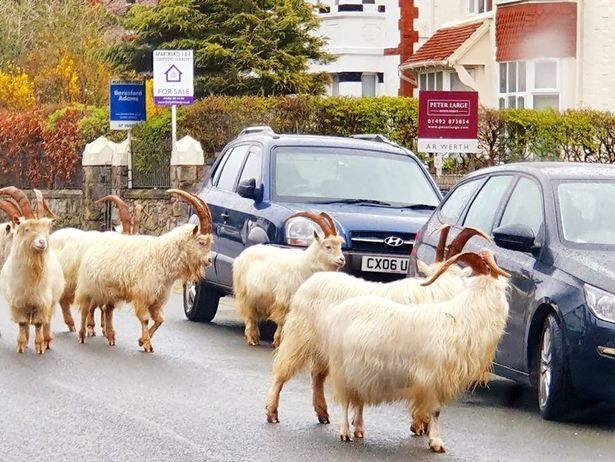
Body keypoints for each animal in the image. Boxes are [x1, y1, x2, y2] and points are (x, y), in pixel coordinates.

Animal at [0, 188, 64, 354]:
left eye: (46, 229)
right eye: (26, 229)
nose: (42, 243)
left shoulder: (42, 302)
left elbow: (39, 324)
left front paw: (40, 346)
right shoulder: (18, 301)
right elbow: (22, 323)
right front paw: (21, 345)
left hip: (51, 301)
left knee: (47, 322)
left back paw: (47, 341)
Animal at [74, 189, 214, 352]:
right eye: (201, 242)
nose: (209, 261)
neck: (161, 257)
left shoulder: (157, 299)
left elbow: (160, 320)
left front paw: (141, 341)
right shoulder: (142, 295)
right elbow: (145, 319)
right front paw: (147, 344)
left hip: (110, 292)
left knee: (107, 310)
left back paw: (110, 336)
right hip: (89, 287)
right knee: (86, 309)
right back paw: (83, 334)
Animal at [233, 210, 346, 346]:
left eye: (340, 246)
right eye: (327, 246)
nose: (342, 260)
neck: (305, 265)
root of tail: (242, 255)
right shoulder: (284, 299)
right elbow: (282, 321)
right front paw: (278, 341)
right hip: (245, 294)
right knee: (250, 316)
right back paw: (252, 338)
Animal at [264, 226, 490, 428]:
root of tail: (311, 281)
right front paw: (419, 425)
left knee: (317, 376)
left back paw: (322, 413)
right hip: (299, 335)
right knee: (282, 370)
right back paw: (272, 411)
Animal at [322, 251, 510, 452]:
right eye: (500, 289)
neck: (460, 318)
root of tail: (340, 310)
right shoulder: (432, 377)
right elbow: (435, 410)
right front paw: (436, 442)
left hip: (361, 373)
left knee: (358, 400)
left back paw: (358, 429)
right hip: (342, 369)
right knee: (345, 401)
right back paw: (345, 432)